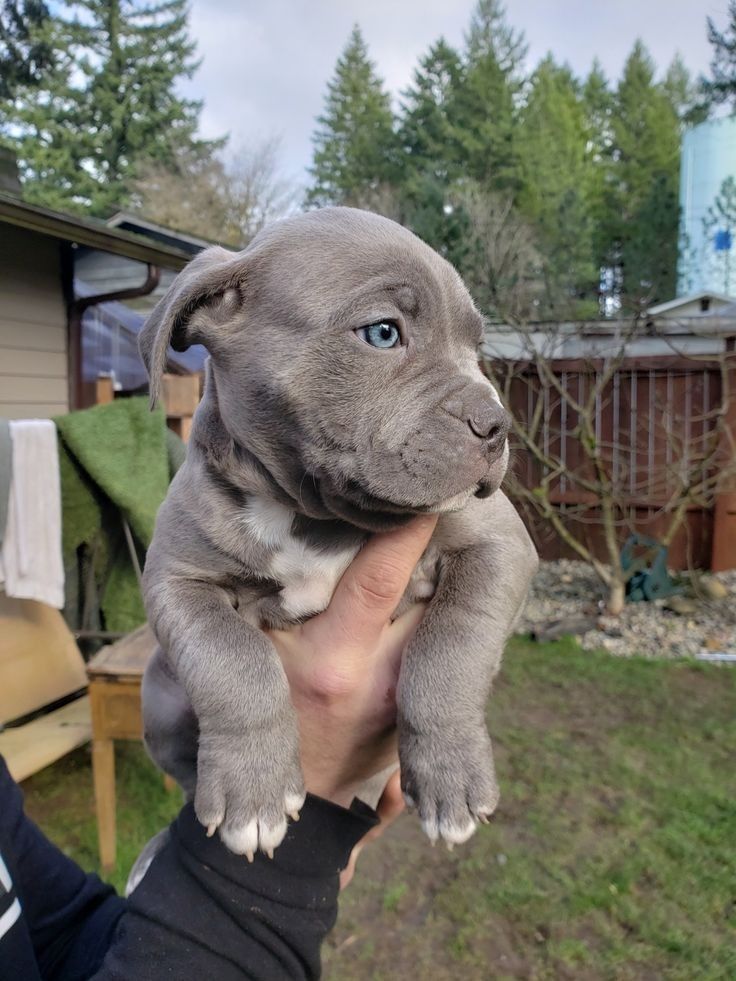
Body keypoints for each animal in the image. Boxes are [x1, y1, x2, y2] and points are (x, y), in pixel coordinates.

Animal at [137, 205, 536, 856]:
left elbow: (452, 644)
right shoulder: (177, 579)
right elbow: (232, 659)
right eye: (383, 333)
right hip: (161, 695)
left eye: (476, 349)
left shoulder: (499, 544)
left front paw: (451, 776)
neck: (312, 517)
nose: (497, 423)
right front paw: (255, 796)